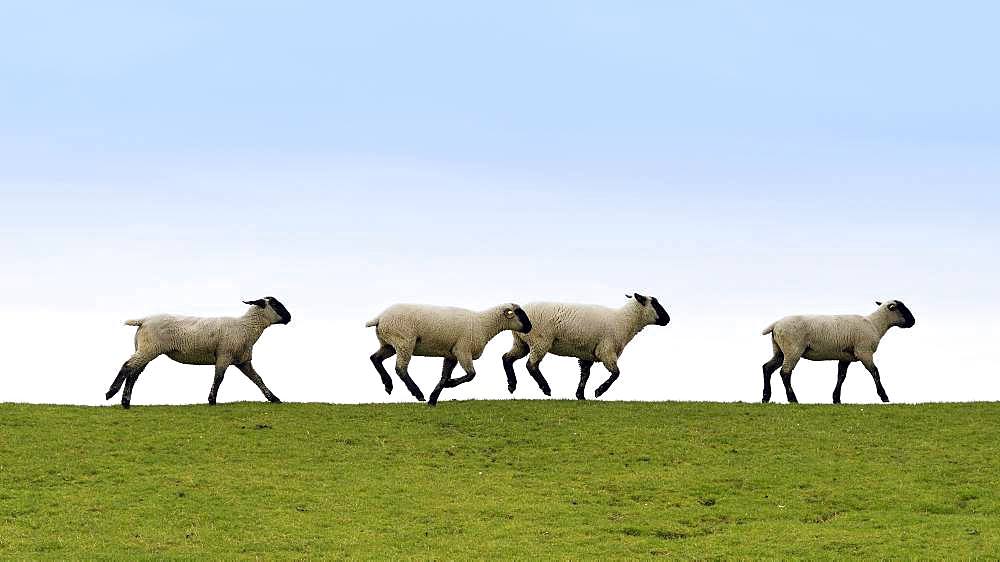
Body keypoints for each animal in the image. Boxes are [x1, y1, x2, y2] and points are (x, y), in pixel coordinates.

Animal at [106, 296, 292, 410]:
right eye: (275, 304)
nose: (290, 317)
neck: (246, 327)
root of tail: (143, 320)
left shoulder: (243, 361)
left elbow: (258, 379)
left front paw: (274, 398)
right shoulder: (224, 355)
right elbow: (219, 378)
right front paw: (212, 400)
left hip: (145, 348)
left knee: (133, 373)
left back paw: (125, 402)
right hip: (149, 348)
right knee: (127, 366)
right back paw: (111, 393)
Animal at [368, 304, 536, 404]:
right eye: (519, 313)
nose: (530, 328)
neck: (483, 325)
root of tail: (380, 318)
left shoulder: (451, 355)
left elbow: (444, 376)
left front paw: (434, 398)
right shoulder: (462, 350)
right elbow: (471, 375)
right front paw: (448, 385)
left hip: (389, 344)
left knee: (375, 358)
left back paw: (388, 384)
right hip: (404, 342)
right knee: (400, 369)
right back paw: (417, 393)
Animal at [500, 294, 672, 398]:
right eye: (655, 303)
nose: (668, 319)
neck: (624, 321)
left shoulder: (588, 354)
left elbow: (585, 375)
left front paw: (580, 395)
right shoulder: (606, 350)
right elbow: (616, 374)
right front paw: (599, 392)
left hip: (521, 342)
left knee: (506, 358)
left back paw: (512, 385)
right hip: (540, 341)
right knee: (531, 365)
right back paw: (545, 388)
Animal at [760, 298, 916, 402]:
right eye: (902, 308)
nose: (913, 321)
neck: (875, 324)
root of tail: (775, 325)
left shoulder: (845, 357)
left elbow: (841, 376)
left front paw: (836, 399)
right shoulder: (864, 352)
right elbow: (875, 372)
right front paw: (884, 397)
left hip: (780, 350)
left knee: (767, 368)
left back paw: (766, 397)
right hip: (793, 349)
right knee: (785, 373)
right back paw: (792, 399)